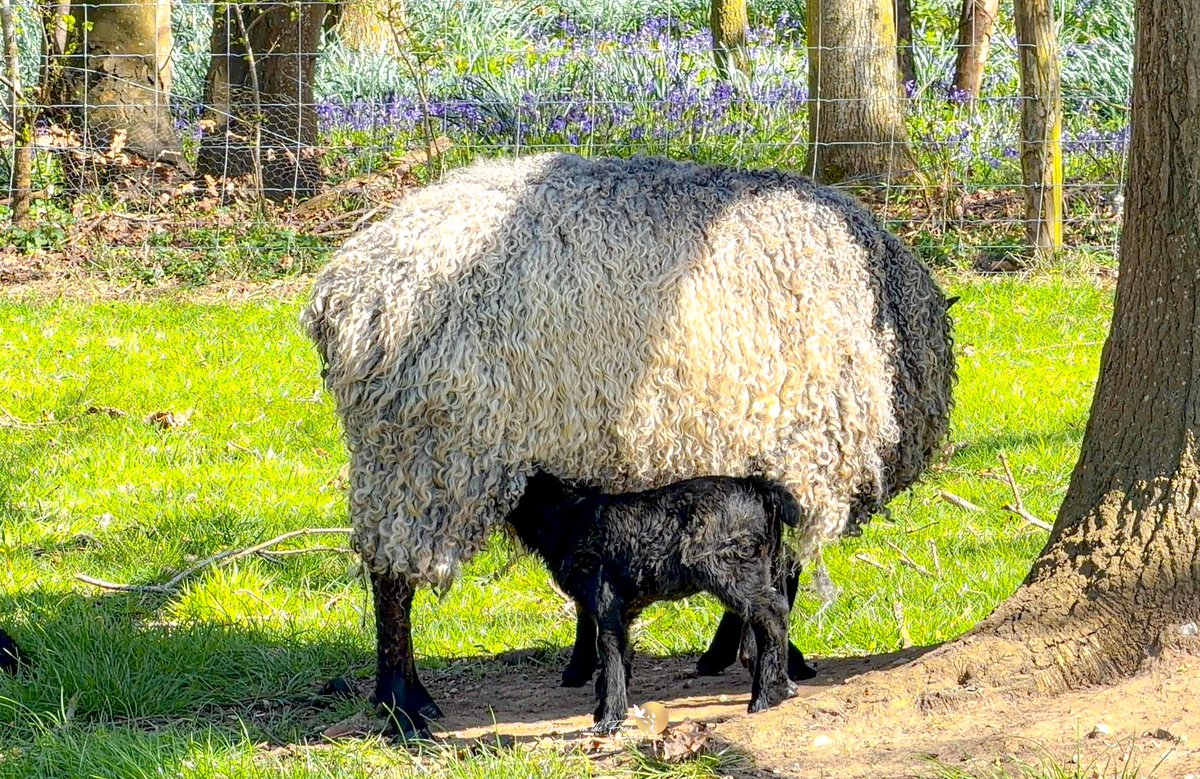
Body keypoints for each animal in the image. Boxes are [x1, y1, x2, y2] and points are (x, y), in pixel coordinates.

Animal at [507, 471, 803, 732]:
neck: (568, 518)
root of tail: (758, 487)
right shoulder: (622, 607)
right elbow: (622, 651)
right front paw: (605, 709)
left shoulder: (605, 596)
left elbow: (609, 648)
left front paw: (609, 719)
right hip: (765, 564)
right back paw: (780, 685)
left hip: (731, 568)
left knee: (773, 613)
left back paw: (765, 696)